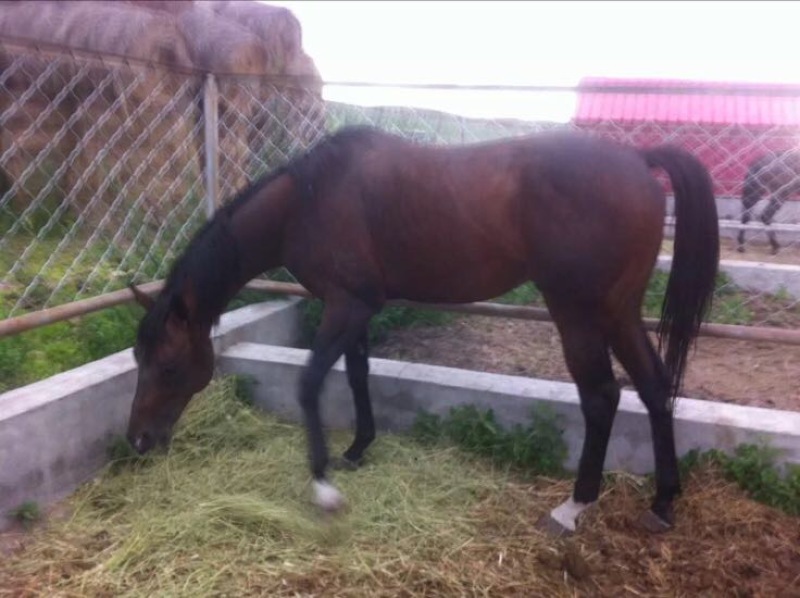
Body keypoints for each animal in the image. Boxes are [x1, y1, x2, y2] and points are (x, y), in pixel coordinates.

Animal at [126, 126, 719, 536]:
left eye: (170, 365)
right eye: (139, 360)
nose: (137, 440)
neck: (308, 199)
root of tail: (637, 159)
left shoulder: (346, 306)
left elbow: (310, 383)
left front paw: (323, 487)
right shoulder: (355, 309)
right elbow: (357, 374)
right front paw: (357, 449)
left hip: (576, 311)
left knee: (601, 396)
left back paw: (574, 506)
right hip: (619, 310)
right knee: (654, 386)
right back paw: (663, 502)